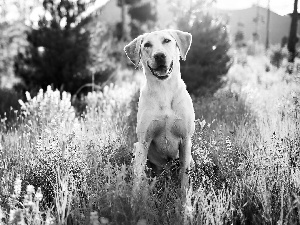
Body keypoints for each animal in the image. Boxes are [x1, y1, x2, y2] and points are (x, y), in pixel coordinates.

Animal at [123, 29, 195, 195]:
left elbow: (184, 178)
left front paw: (185, 200)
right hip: (136, 148)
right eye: (147, 45)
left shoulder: (186, 140)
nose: (159, 55)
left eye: (167, 40)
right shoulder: (143, 142)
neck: (164, 90)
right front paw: (135, 199)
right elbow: (138, 176)